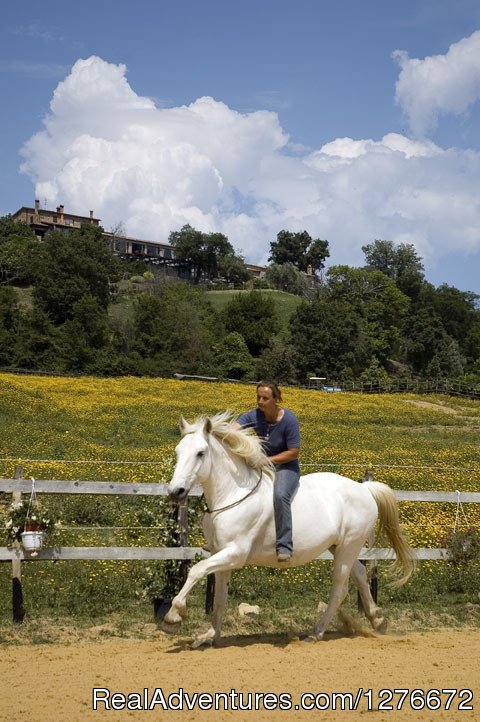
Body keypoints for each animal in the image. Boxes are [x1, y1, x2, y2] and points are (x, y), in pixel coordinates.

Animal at [163, 410, 414, 648]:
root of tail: (365, 489)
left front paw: (173, 617)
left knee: (339, 590)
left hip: (348, 547)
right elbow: (219, 598)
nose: (176, 491)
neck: (233, 495)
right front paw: (210, 636)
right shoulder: (221, 555)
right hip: (340, 547)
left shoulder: (235, 553)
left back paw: (315, 633)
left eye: (200, 453)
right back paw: (377, 620)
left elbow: (197, 570)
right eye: (177, 451)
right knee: (361, 576)